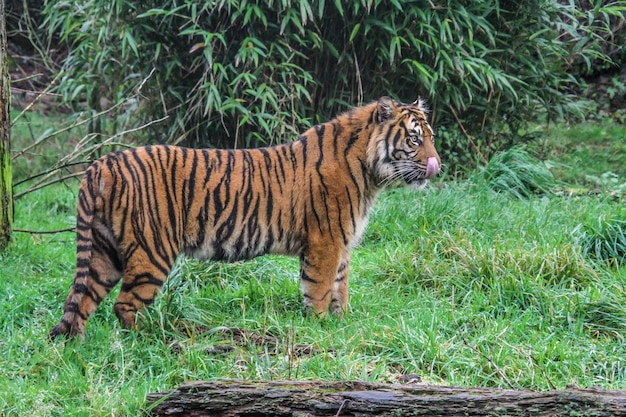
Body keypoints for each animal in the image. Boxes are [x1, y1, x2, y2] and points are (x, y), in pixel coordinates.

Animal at [48, 95, 438, 338]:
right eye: (414, 139)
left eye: (429, 137)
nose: (437, 164)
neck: (371, 175)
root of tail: (101, 163)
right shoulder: (324, 242)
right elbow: (320, 288)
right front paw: (321, 326)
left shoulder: (342, 244)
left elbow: (341, 287)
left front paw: (340, 323)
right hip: (151, 251)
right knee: (125, 306)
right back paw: (154, 339)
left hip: (104, 252)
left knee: (80, 301)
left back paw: (77, 348)